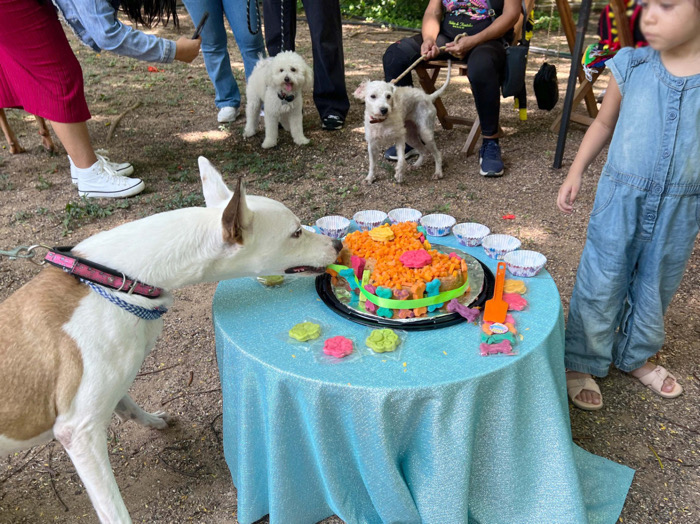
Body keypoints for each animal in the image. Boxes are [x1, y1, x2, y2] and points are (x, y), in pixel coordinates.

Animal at [0, 157, 342, 524]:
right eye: (296, 233)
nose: (338, 245)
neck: (118, 280)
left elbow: (125, 401)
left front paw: (151, 421)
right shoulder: (79, 431)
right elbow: (114, 510)